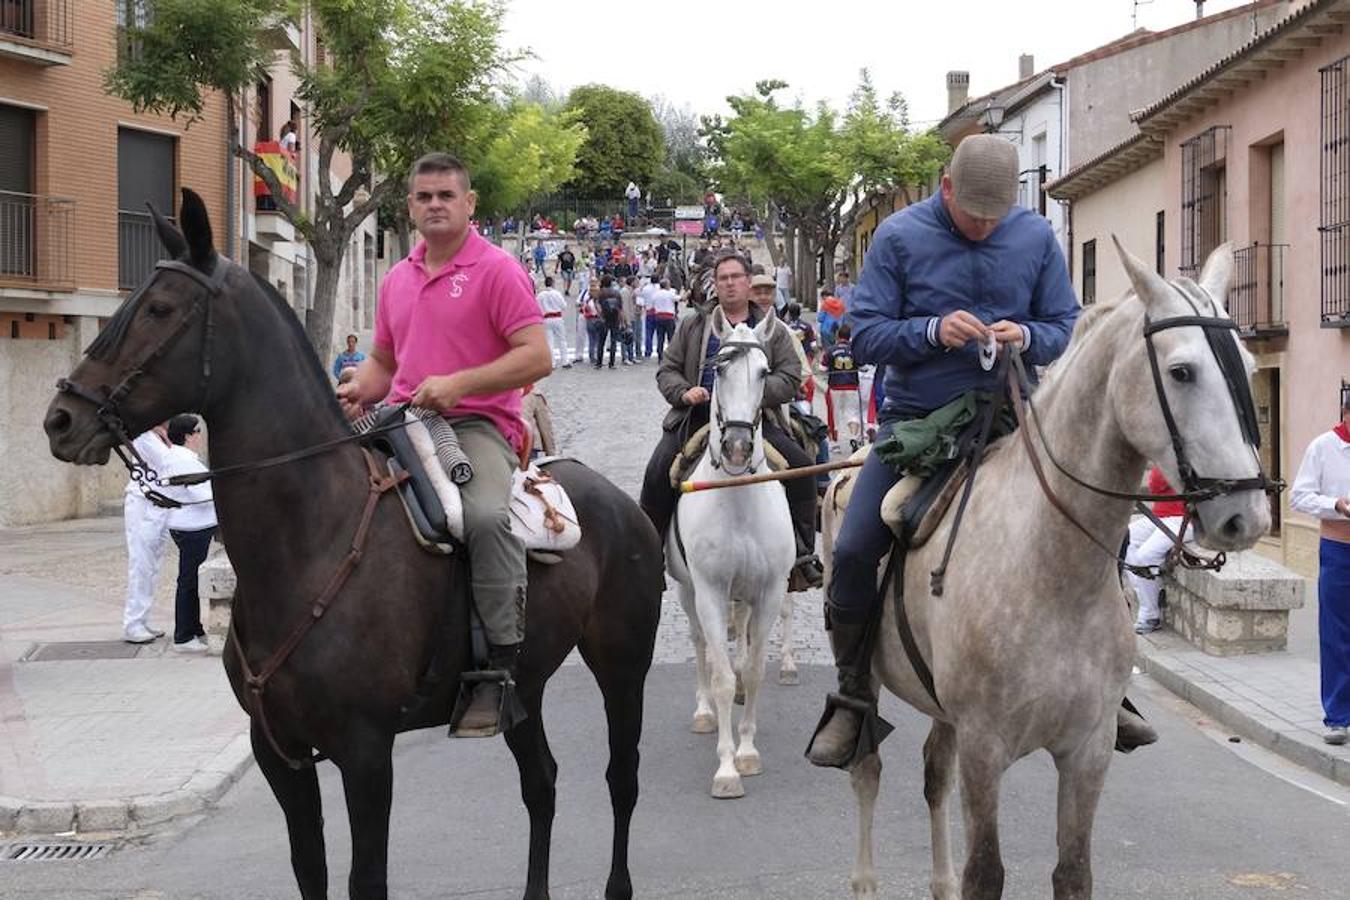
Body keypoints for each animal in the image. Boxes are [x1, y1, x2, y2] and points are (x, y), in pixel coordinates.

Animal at [36, 186, 658, 895]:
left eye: (160, 309)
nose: (62, 418)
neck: (310, 539)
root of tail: (618, 502)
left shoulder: (365, 754)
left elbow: (366, 879)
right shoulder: (279, 753)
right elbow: (310, 869)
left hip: (623, 666)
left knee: (621, 778)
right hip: (522, 690)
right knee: (542, 784)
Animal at [666, 311, 793, 804]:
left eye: (763, 372)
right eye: (717, 371)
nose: (738, 447)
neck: (738, 494)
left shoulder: (770, 592)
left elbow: (753, 670)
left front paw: (747, 752)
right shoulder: (710, 592)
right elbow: (719, 673)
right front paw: (726, 769)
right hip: (688, 593)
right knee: (701, 645)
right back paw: (704, 713)